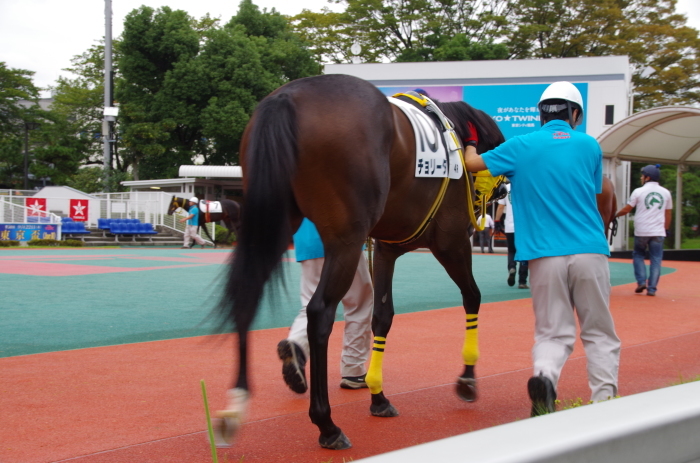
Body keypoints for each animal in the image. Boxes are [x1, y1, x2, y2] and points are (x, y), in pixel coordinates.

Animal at [216, 74, 506, 452]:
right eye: (496, 155)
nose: (502, 195)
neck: (455, 133)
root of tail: (287, 96)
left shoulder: (385, 250)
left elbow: (382, 316)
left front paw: (377, 395)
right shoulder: (452, 242)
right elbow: (472, 297)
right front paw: (468, 378)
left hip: (273, 221)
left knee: (247, 296)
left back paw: (237, 404)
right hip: (347, 241)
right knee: (319, 312)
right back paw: (326, 423)